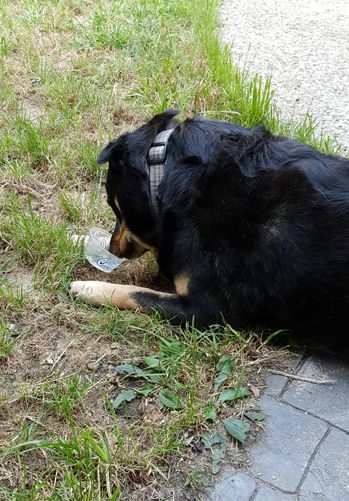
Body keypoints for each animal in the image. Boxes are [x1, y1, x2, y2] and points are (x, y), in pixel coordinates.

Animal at [70, 109, 348, 344]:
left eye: (114, 206)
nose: (112, 249)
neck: (165, 172)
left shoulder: (205, 309)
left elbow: (138, 294)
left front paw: (89, 287)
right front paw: (76, 238)